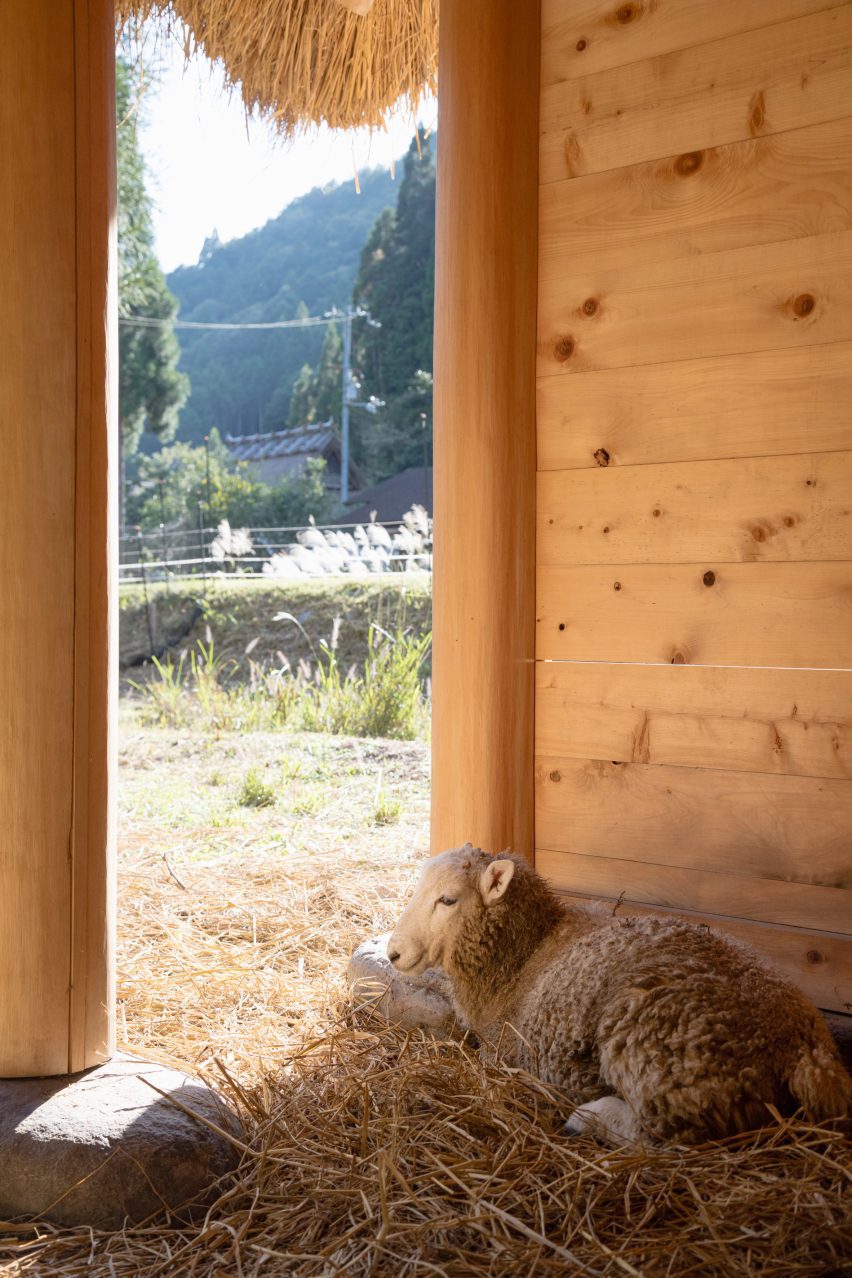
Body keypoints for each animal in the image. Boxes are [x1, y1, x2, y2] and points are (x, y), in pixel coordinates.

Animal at [387, 845, 852, 1145]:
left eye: (448, 900)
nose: (393, 953)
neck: (525, 954)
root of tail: (801, 1047)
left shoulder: (501, 1052)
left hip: (666, 1058)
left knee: (668, 1137)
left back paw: (588, 1119)